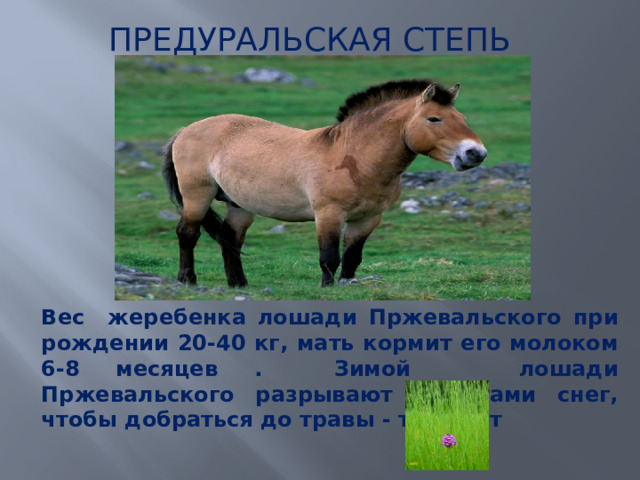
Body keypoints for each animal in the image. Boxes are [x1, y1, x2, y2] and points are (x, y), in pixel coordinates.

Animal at [162, 79, 487, 287]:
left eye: (462, 117)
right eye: (434, 119)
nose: (475, 153)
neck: (355, 157)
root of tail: (184, 131)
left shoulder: (368, 219)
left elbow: (352, 257)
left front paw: (347, 284)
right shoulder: (328, 214)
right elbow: (329, 257)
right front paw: (328, 289)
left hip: (239, 205)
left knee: (230, 239)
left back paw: (239, 284)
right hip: (197, 195)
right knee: (187, 234)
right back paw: (187, 280)